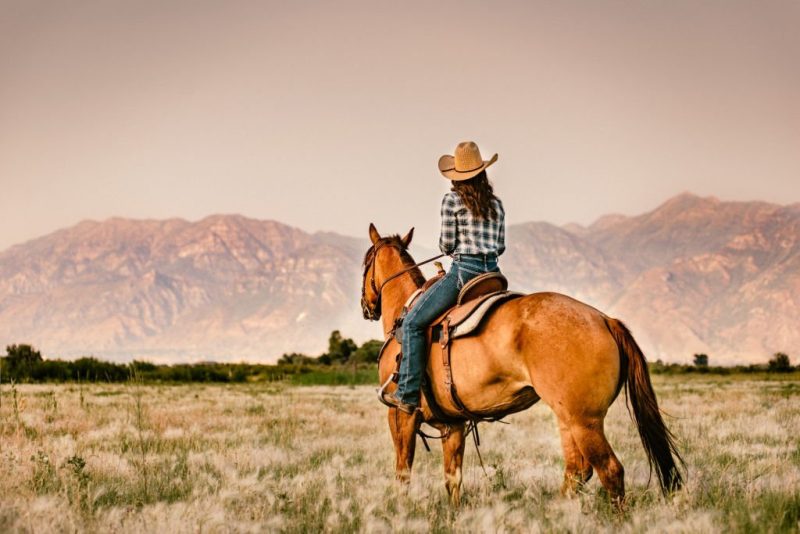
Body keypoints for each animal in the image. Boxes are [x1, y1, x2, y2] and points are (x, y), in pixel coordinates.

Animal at [360, 224, 684, 508]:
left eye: (365, 262)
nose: (367, 306)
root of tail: (605, 319)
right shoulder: (453, 424)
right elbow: (453, 479)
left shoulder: (400, 416)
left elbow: (403, 472)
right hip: (568, 418)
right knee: (577, 470)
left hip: (585, 420)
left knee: (610, 470)